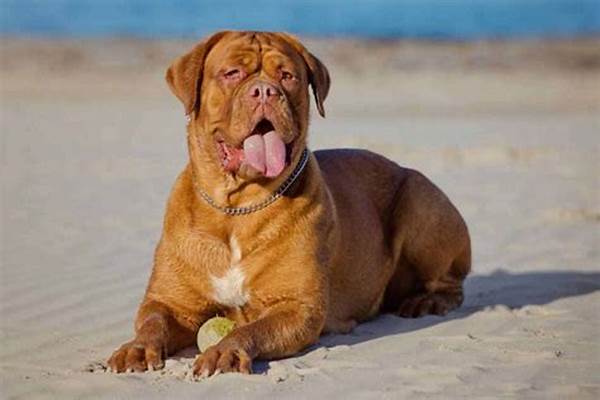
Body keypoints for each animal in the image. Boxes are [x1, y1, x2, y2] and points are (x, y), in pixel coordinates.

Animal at [109, 30, 474, 376]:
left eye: (287, 76)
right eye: (232, 73)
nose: (264, 91)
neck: (237, 207)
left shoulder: (297, 307)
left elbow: (252, 329)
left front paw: (225, 350)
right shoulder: (170, 303)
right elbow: (153, 322)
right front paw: (136, 349)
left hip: (419, 201)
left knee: (451, 281)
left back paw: (427, 301)